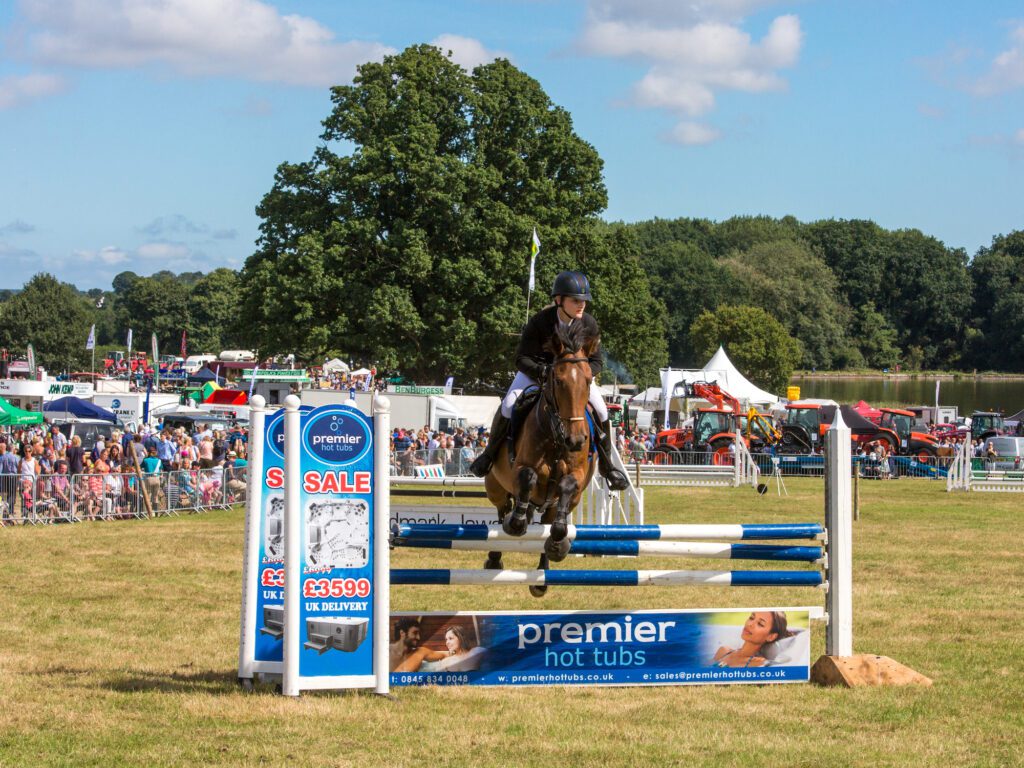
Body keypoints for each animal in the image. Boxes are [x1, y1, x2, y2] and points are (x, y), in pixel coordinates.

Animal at [483, 322, 598, 597]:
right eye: (558, 380)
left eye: (589, 380)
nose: (576, 440)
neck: (557, 435)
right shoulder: (521, 467)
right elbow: (528, 476)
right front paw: (516, 524)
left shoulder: (577, 478)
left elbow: (566, 488)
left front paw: (558, 546)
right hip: (495, 486)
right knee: (502, 512)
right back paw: (498, 551)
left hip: (559, 503)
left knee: (548, 519)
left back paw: (541, 577)